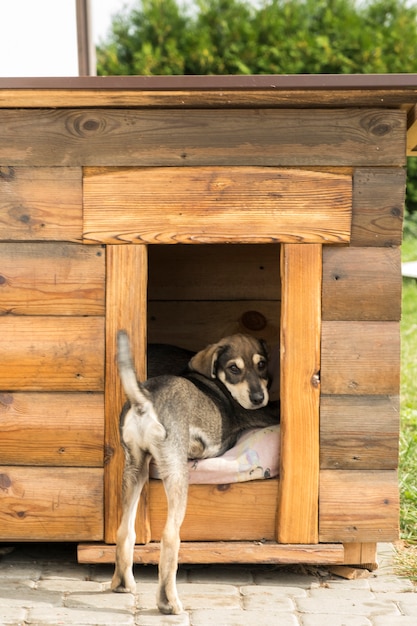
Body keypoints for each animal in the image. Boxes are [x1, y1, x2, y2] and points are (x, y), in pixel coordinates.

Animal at [111, 334, 280, 612]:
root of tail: (144, 400)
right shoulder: (258, 414)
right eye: (234, 368)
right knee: (170, 537)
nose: (258, 397)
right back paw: (169, 602)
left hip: (134, 466)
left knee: (125, 530)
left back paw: (122, 583)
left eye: (262, 364)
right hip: (176, 471)